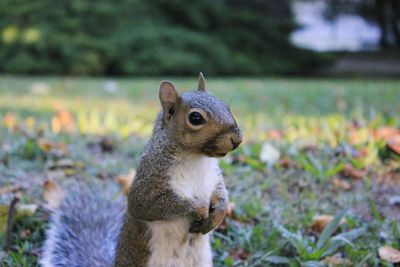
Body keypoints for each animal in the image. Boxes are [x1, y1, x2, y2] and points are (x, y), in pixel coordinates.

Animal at [40, 72, 242, 266]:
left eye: (225, 105)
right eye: (196, 118)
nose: (238, 139)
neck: (196, 158)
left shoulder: (214, 177)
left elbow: (221, 196)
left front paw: (218, 215)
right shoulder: (150, 175)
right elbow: (146, 203)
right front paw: (198, 208)